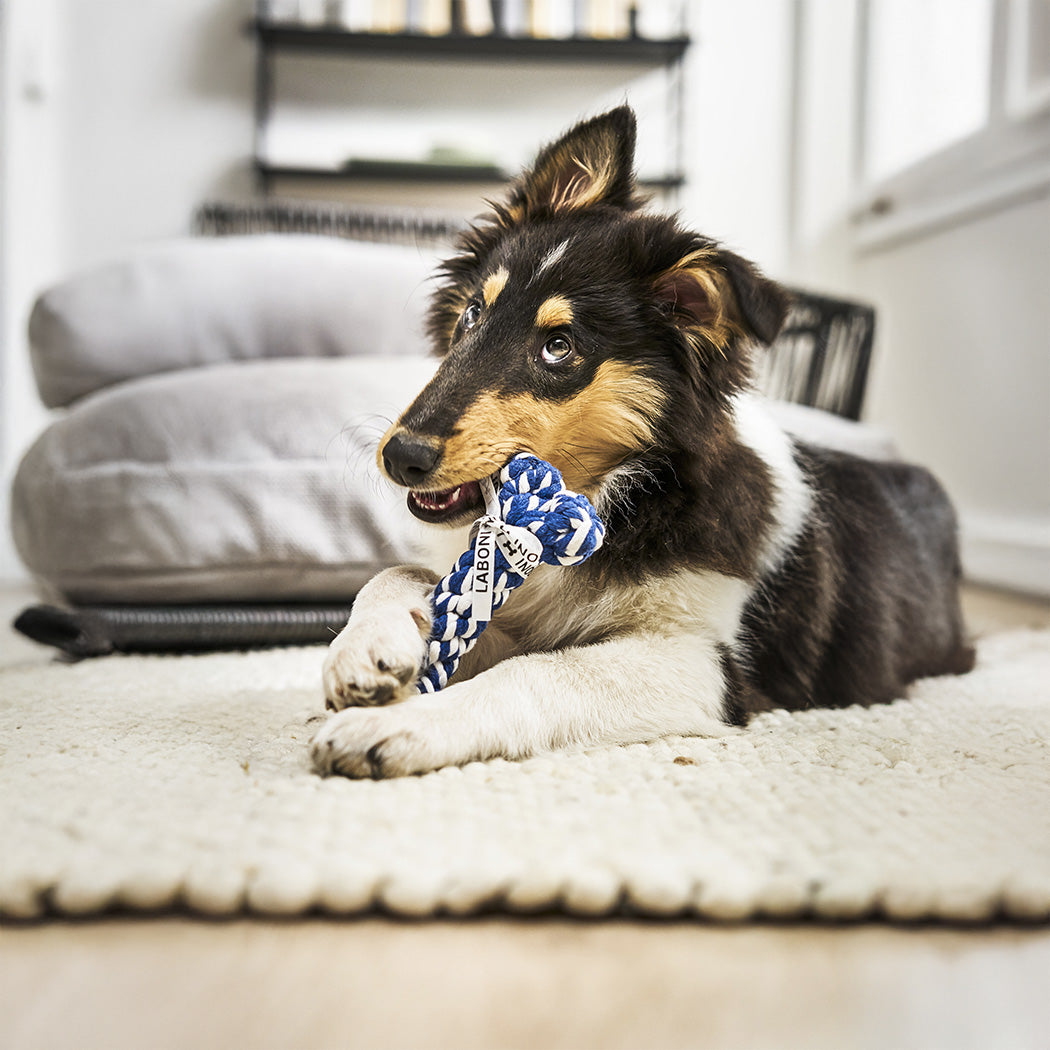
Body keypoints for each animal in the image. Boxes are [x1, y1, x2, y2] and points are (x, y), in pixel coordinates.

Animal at [310, 106, 974, 781]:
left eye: (559, 347)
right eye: (473, 313)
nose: (401, 457)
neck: (623, 494)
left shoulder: (703, 662)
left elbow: (537, 673)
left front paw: (394, 726)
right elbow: (402, 572)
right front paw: (366, 654)